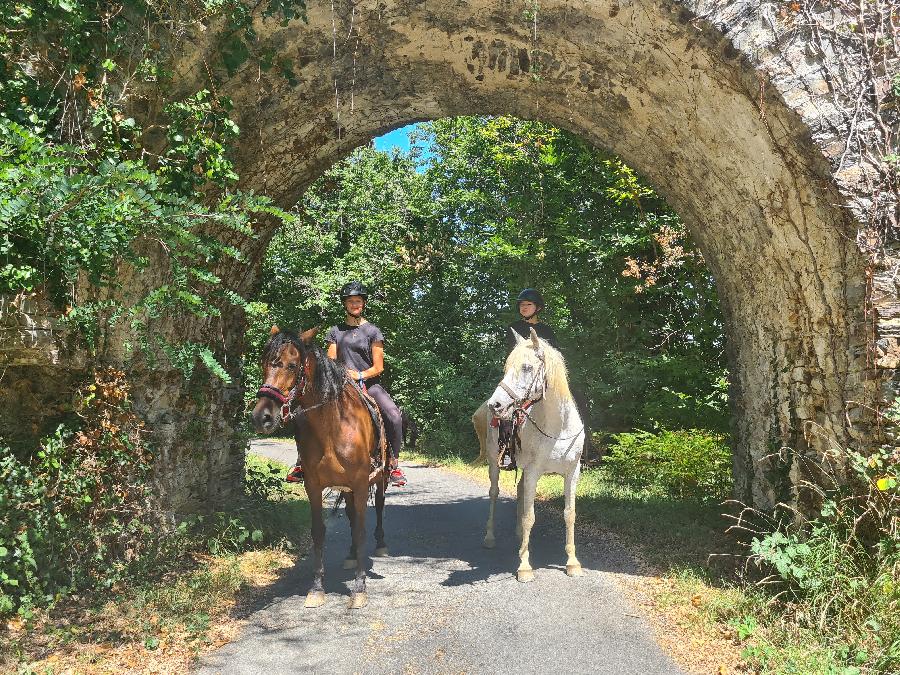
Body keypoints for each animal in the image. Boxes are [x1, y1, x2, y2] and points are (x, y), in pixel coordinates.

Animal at [250, 324, 386, 608]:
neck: (332, 426)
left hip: (379, 478)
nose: (261, 417)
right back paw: (351, 556)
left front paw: (359, 589)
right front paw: (316, 588)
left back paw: (381, 544)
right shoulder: (313, 485)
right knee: (351, 516)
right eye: (264, 363)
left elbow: (361, 530)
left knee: (378, 505)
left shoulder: (360, 482)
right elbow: (319, 532)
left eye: (292, 365)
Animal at [474, 328, 588, 580]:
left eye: (527, 367)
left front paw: (572, 562)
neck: (557, 428)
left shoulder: (572, 473)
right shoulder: (534, 472)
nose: (495, 404)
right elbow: (530, 517)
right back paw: (489, 537)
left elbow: (570, 514)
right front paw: (525, 566)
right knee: (494, 493)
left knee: (519, 491)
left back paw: (518, 535)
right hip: (494, 464)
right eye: (506, 367)